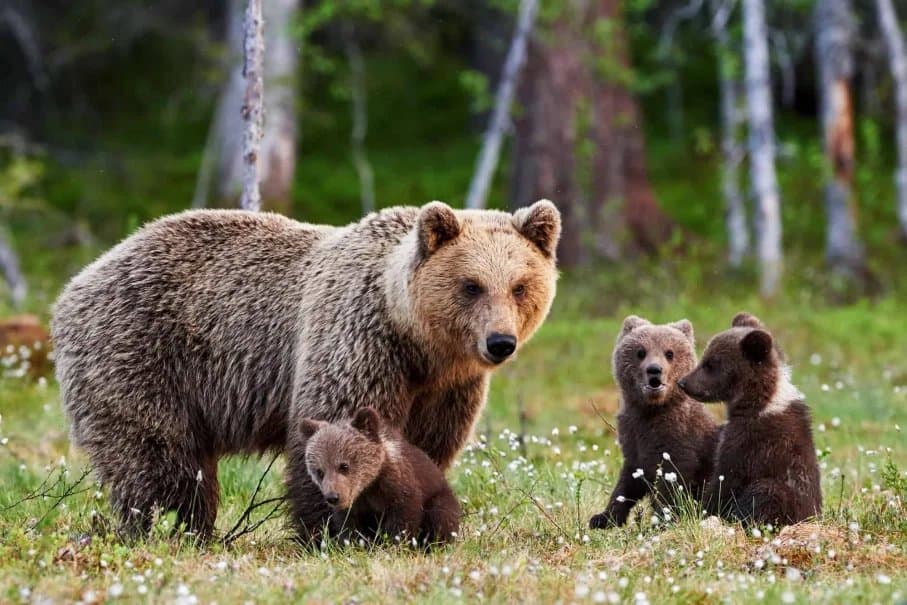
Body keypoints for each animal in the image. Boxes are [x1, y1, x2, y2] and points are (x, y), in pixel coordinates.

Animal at [297, 407, 461, 547]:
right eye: (319, 471)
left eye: (344, 466)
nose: (333, 497)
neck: (368, 486)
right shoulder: (354, 507)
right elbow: (349, 526)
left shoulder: (399, 488)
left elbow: (403, 518)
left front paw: (394, 544)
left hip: (440, 496)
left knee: (441, 514)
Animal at [589, 316, 722, 529]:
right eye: (640, 352)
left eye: (670, 353)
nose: (654, 370)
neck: (652, 410)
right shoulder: (633, 437)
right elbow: (629, 481)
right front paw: (603, 517)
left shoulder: (680, 440)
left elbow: (672, 483)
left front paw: (660, 520)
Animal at [678, 312, 822, 526]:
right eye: (705, 357)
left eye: (711, 364)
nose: (683, 382)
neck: (759, 402)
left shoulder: (751, 443)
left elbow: (726, 480)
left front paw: (700, 510)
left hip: (781, 495)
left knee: (767, 492)